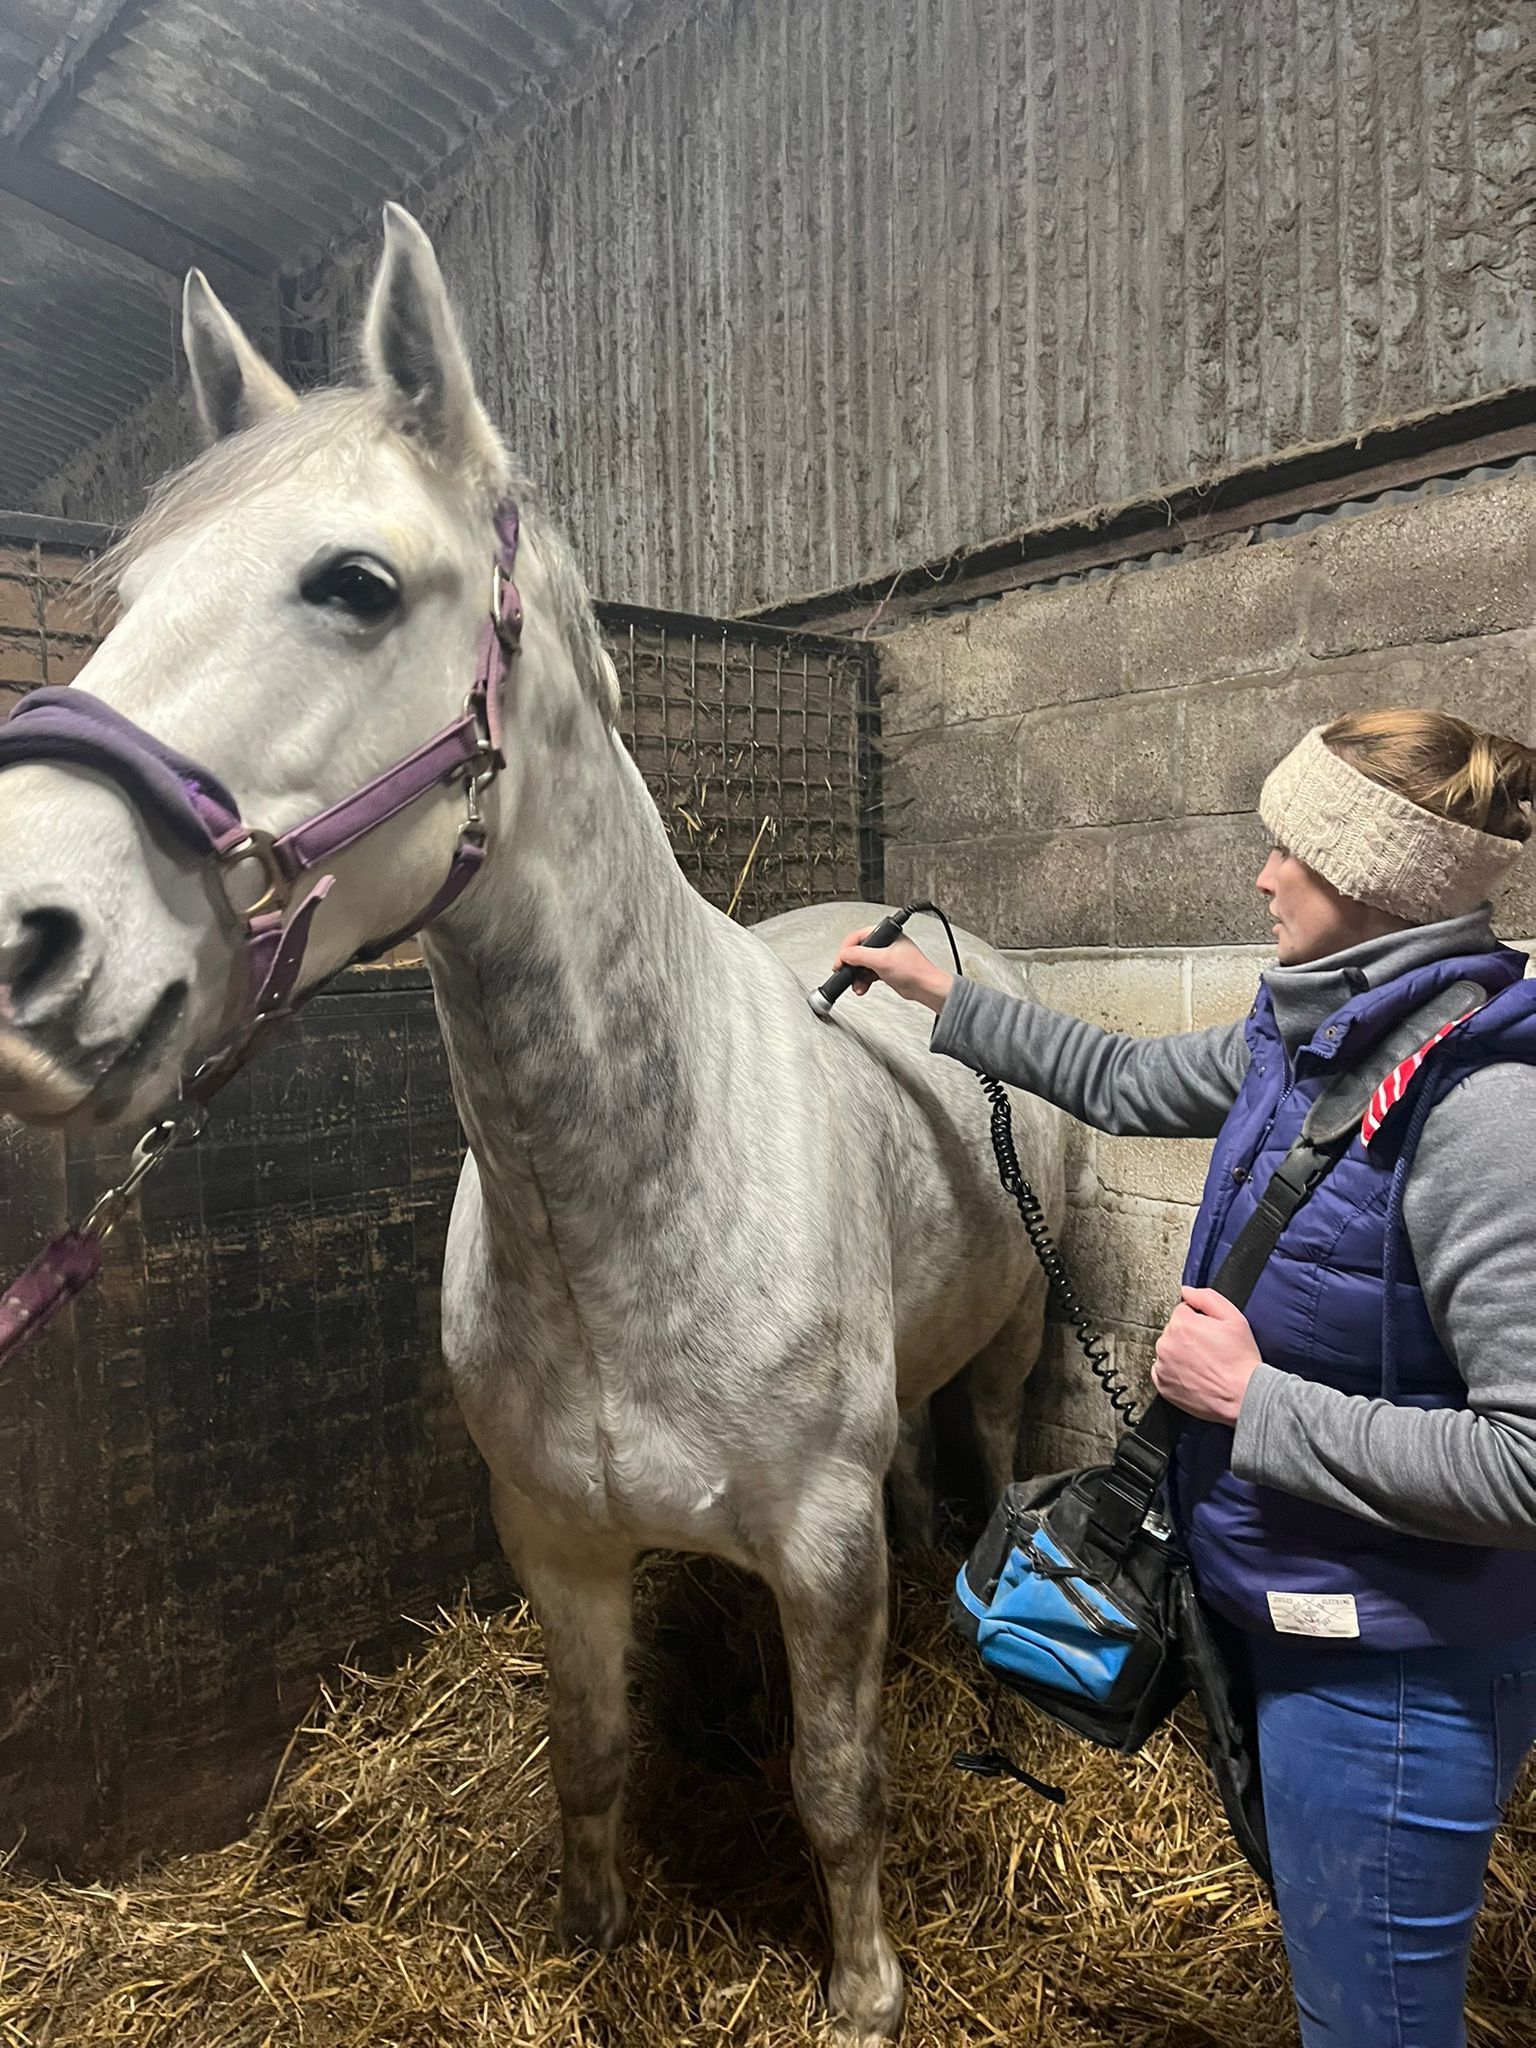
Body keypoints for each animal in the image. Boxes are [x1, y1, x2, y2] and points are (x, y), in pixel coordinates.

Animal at [0, 206, 1063, 2042]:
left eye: (355, 583)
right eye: (122, 602)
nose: (22, 936)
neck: (632, 1205)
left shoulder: (819, 1546)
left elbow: (837, 1780)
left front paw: (861, 1989)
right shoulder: (556, 1543)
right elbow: (590, 1755)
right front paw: (591, 1941)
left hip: (1005, 1353)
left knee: (984, 1461)